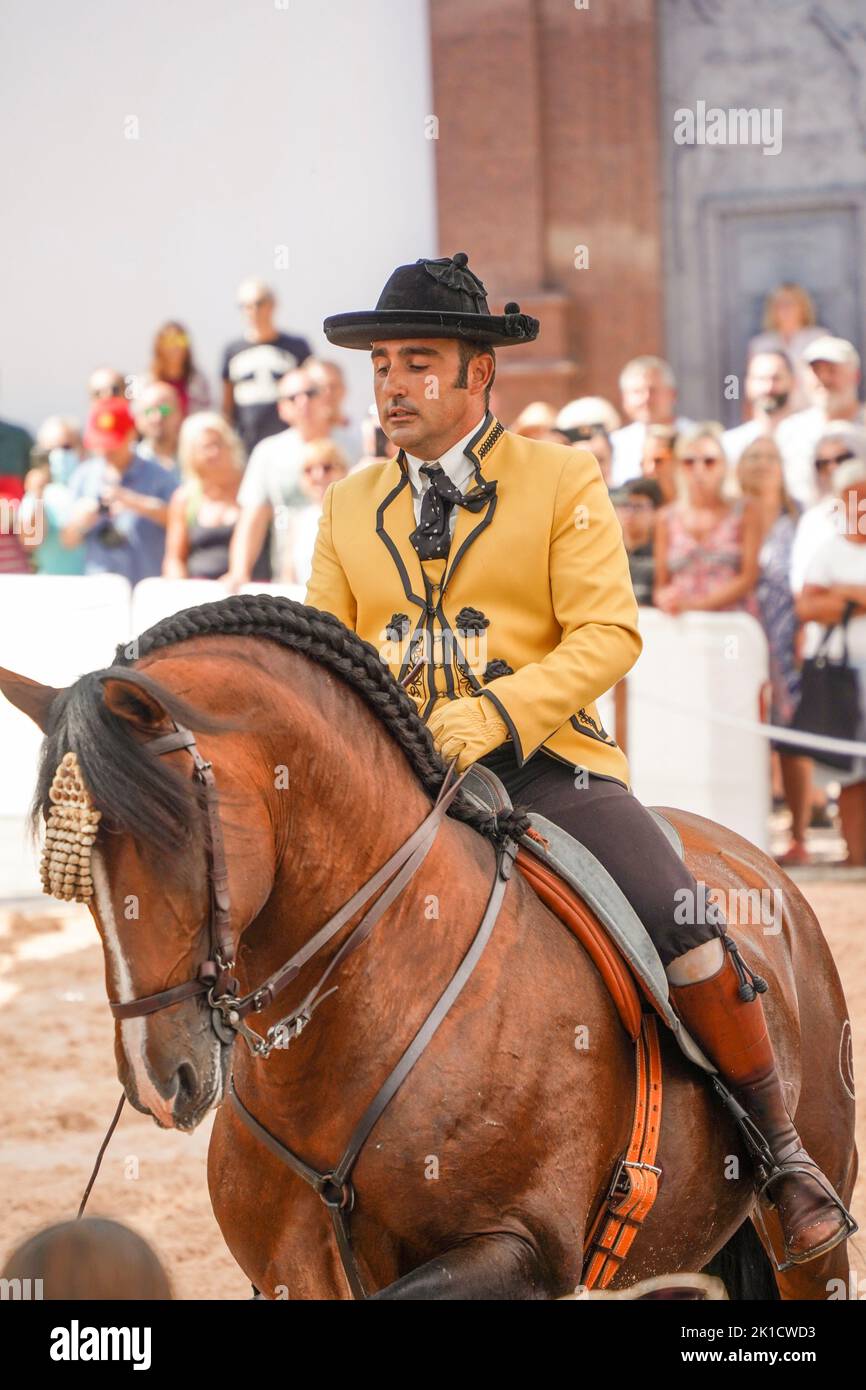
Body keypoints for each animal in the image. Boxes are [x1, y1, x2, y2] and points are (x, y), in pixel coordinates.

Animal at [0, 592, 856, 1295]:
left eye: (175, 832)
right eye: (72, 875)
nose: (156, 1080)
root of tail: (754, 859)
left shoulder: (519, 1250)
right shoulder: (293, 1271)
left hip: (810, 1233)